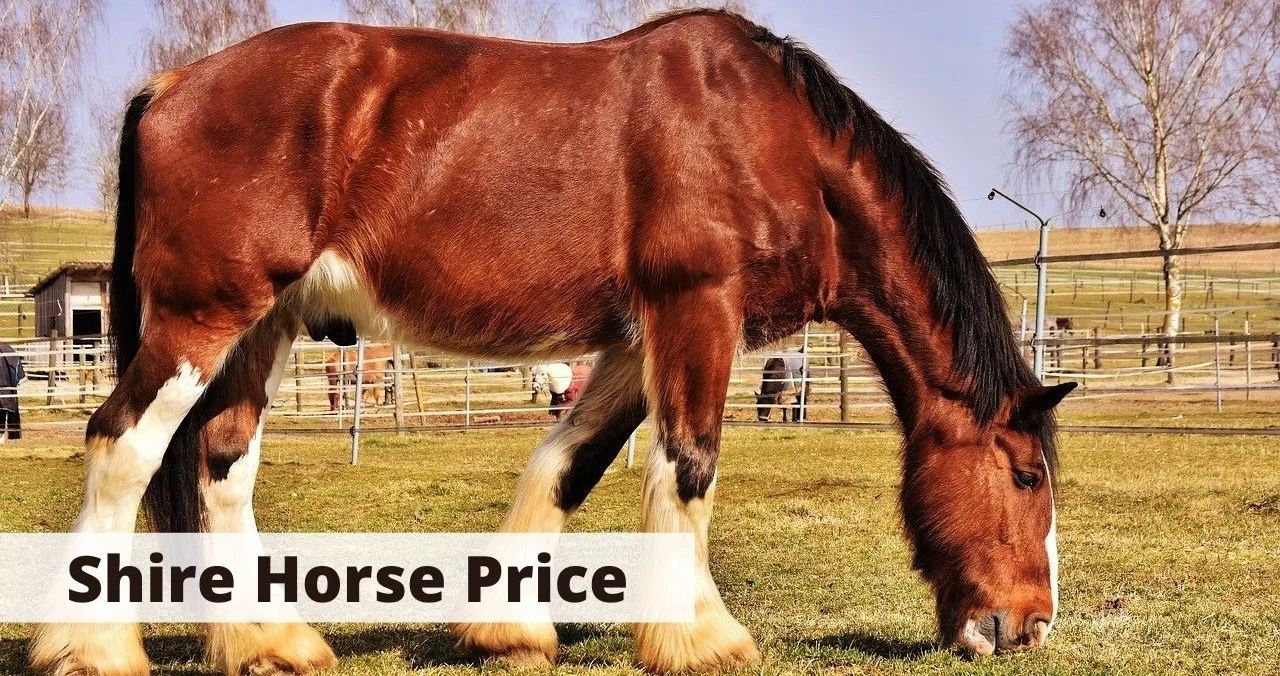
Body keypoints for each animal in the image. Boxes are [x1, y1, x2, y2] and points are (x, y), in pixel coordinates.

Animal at [32, 10, 1076, 675]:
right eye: (1027, 475)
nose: (1028, 625)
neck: (772, 141)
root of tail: (173, 83)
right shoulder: (697, 310)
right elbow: (689, 465)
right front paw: (702, 637)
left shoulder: (629, 340)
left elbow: (570, 462)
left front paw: (508, 628)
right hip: (201, 319)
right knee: (121, 446)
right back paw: (92, 647)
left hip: (264, 326)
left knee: (219, 464)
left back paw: (270, 643)